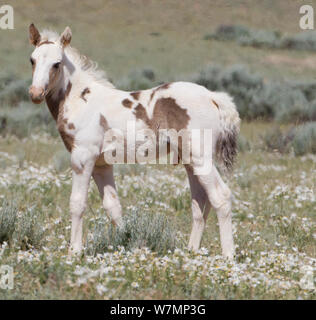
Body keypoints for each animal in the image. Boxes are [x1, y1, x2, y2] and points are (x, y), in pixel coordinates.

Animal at [28, 25, 239, 260]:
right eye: (32, 60)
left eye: (56, 63)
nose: (35, 93)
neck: (82, 99)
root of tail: (213, 97)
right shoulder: (101, 165)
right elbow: (113, 205)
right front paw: (126, 242)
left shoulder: (82, 158)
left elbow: (77, 203)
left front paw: (74, 251)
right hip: (190, 161)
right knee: (201, 202)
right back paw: (190, 251)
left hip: (201, 158)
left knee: (221, 197)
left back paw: (228, 256)